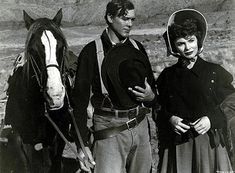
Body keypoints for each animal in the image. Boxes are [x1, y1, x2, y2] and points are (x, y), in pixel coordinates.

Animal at [2, 8, 77, 172]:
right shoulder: (25, 140)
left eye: (61, 47)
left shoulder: (59, 137)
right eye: (32, 50)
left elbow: (56, 164)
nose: (55, 95)